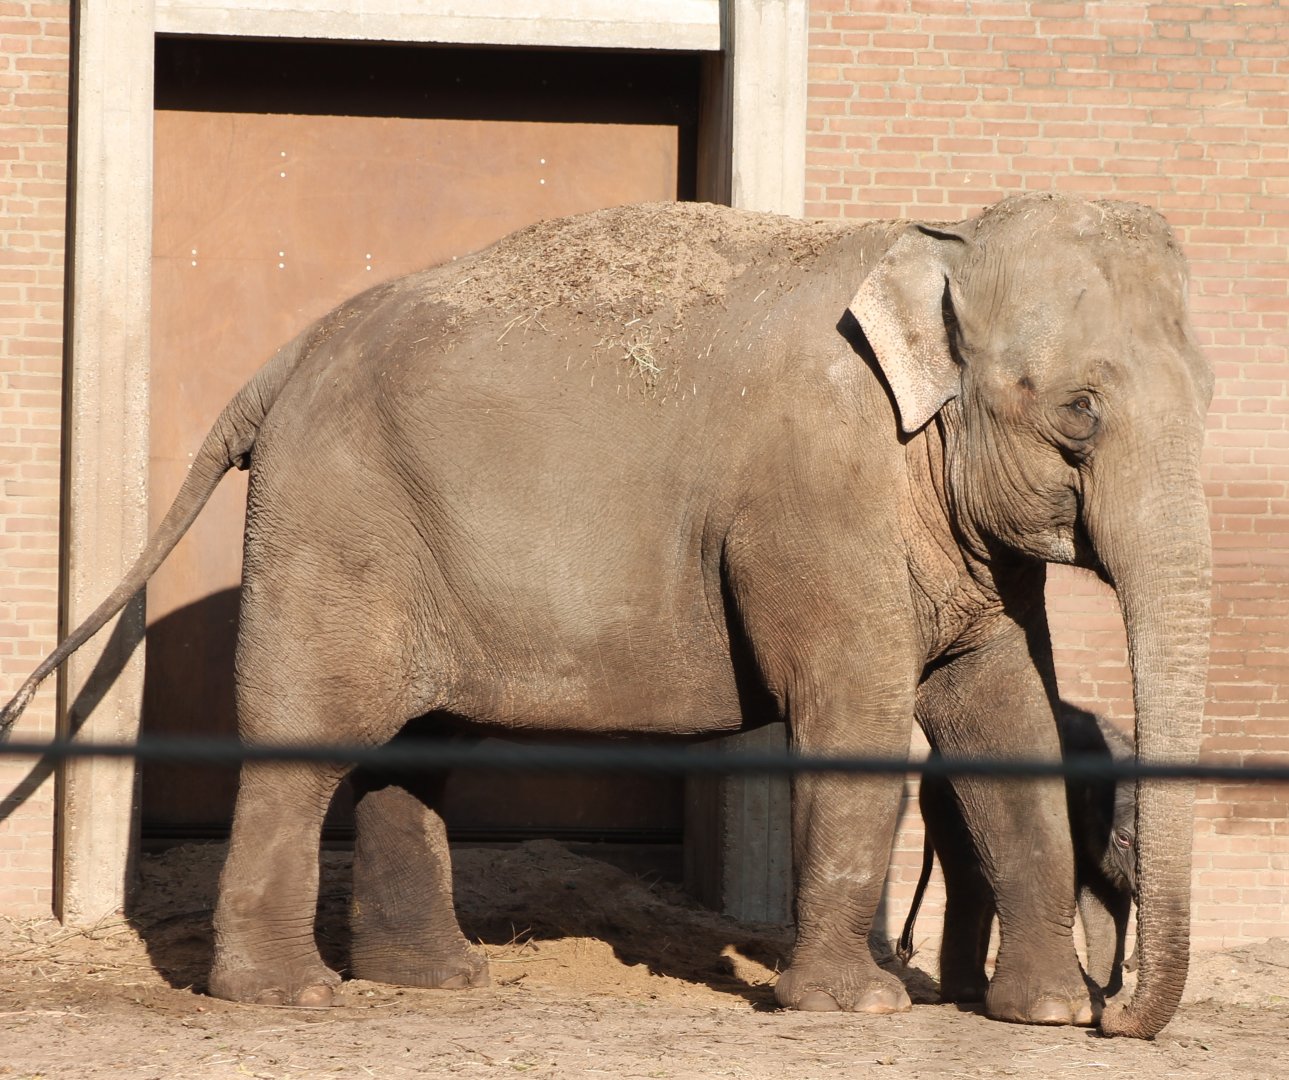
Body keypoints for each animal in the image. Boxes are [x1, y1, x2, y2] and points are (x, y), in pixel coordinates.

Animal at [897, 702, 1138, 1001]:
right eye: (1123, 838)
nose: (1128, 964)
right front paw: (1089, 989)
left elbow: (1110, 899)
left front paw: (1110, 997)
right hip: (945, 808)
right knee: (969, 883)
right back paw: (967, 992)